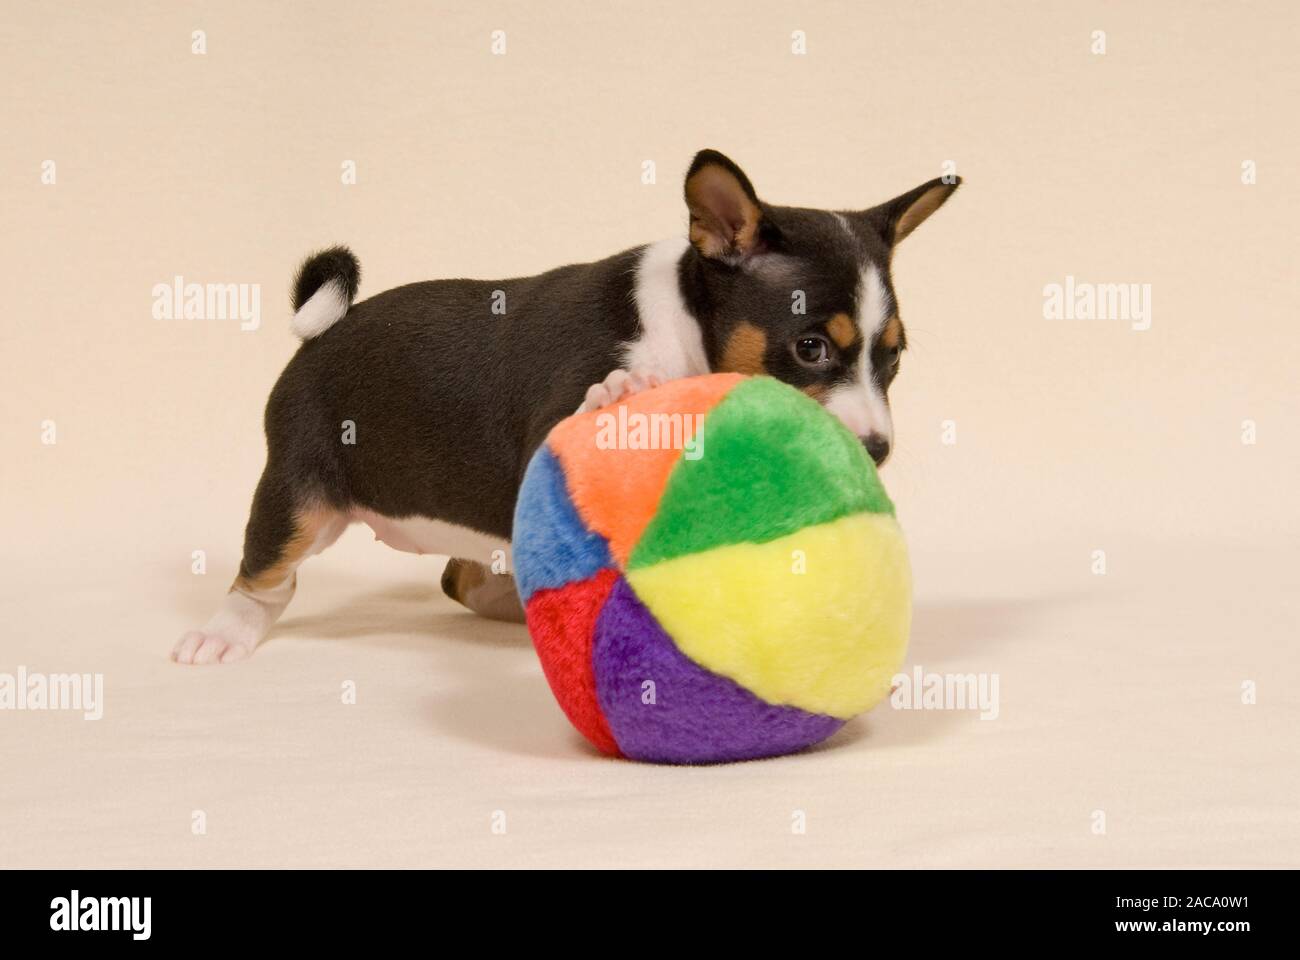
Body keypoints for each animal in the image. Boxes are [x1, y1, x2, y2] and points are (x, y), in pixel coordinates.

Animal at [172, 149, 956, 660]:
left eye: (892, 358)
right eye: (811, 348)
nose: (876, 450)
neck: (682, 322)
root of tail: (321, 332)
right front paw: (620, 391)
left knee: (461, 577)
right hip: (298, 493)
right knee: (264, 576)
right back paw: (220, 636)